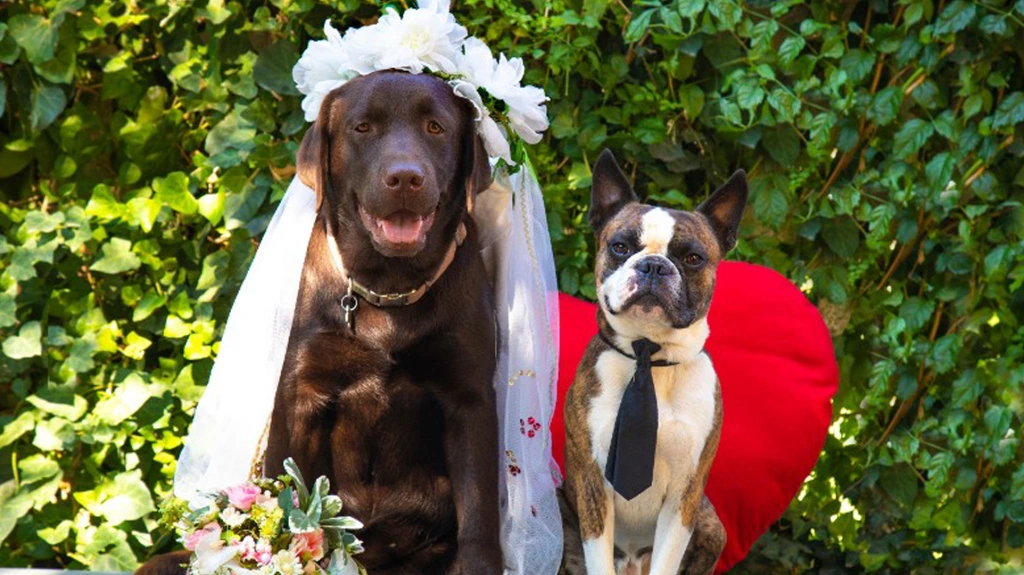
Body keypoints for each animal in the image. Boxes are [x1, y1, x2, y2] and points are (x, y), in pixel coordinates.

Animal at [557, 148, 749, 572]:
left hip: (712, 525)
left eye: (692, 258)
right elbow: (597, 559)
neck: (650, 358)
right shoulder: (593, 485)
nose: (654, 266)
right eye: (620, 247)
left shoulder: (684, 496)